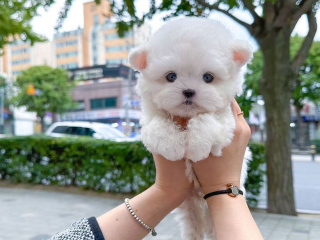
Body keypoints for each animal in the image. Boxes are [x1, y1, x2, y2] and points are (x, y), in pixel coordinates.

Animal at [129, 17, 252, 240]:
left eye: (208, 77)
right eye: (171, 76)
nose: (188, 91)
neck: (186, 117)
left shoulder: (226, 120)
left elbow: (206, 120)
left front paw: (196, 146)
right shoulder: (150, 117)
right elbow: (158, 125)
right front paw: (173, 146)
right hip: (188, 205)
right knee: (193, 225)